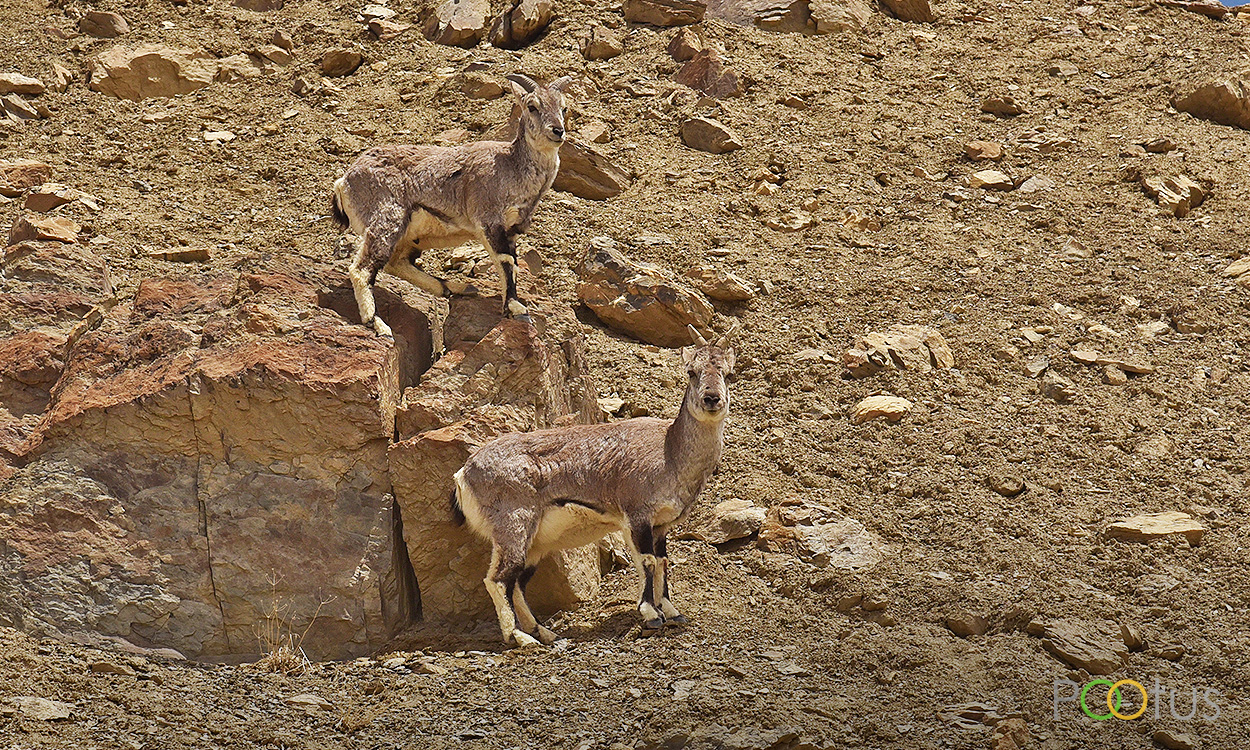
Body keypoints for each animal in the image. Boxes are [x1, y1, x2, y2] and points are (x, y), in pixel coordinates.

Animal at [330, 73, 572, 337]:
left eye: (564, 108)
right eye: (532, 107)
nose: (558, 131)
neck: (511, 166)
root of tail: (344, 181)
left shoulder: (512, 229)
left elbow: (512, 263)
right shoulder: (489, 220)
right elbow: (506, 262)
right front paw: (516, 308)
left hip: (410, 235)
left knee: (396, 262)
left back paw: (456, 287)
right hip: (386, 221)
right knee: (362, 269)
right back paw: (377, 323)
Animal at [451, 324, 738, 647]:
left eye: (728, 373)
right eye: (691, 371)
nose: (712, 399)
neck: (670, 453)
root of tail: (464, 473)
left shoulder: (661, 525)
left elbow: (663, 562)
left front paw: (673, 612)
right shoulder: (636, 516)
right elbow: (648, 561)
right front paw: (651, 615)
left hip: (533, 544)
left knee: (517, 583)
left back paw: (546, 633)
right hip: (513, 527)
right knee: (498, 579)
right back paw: (521, 638)